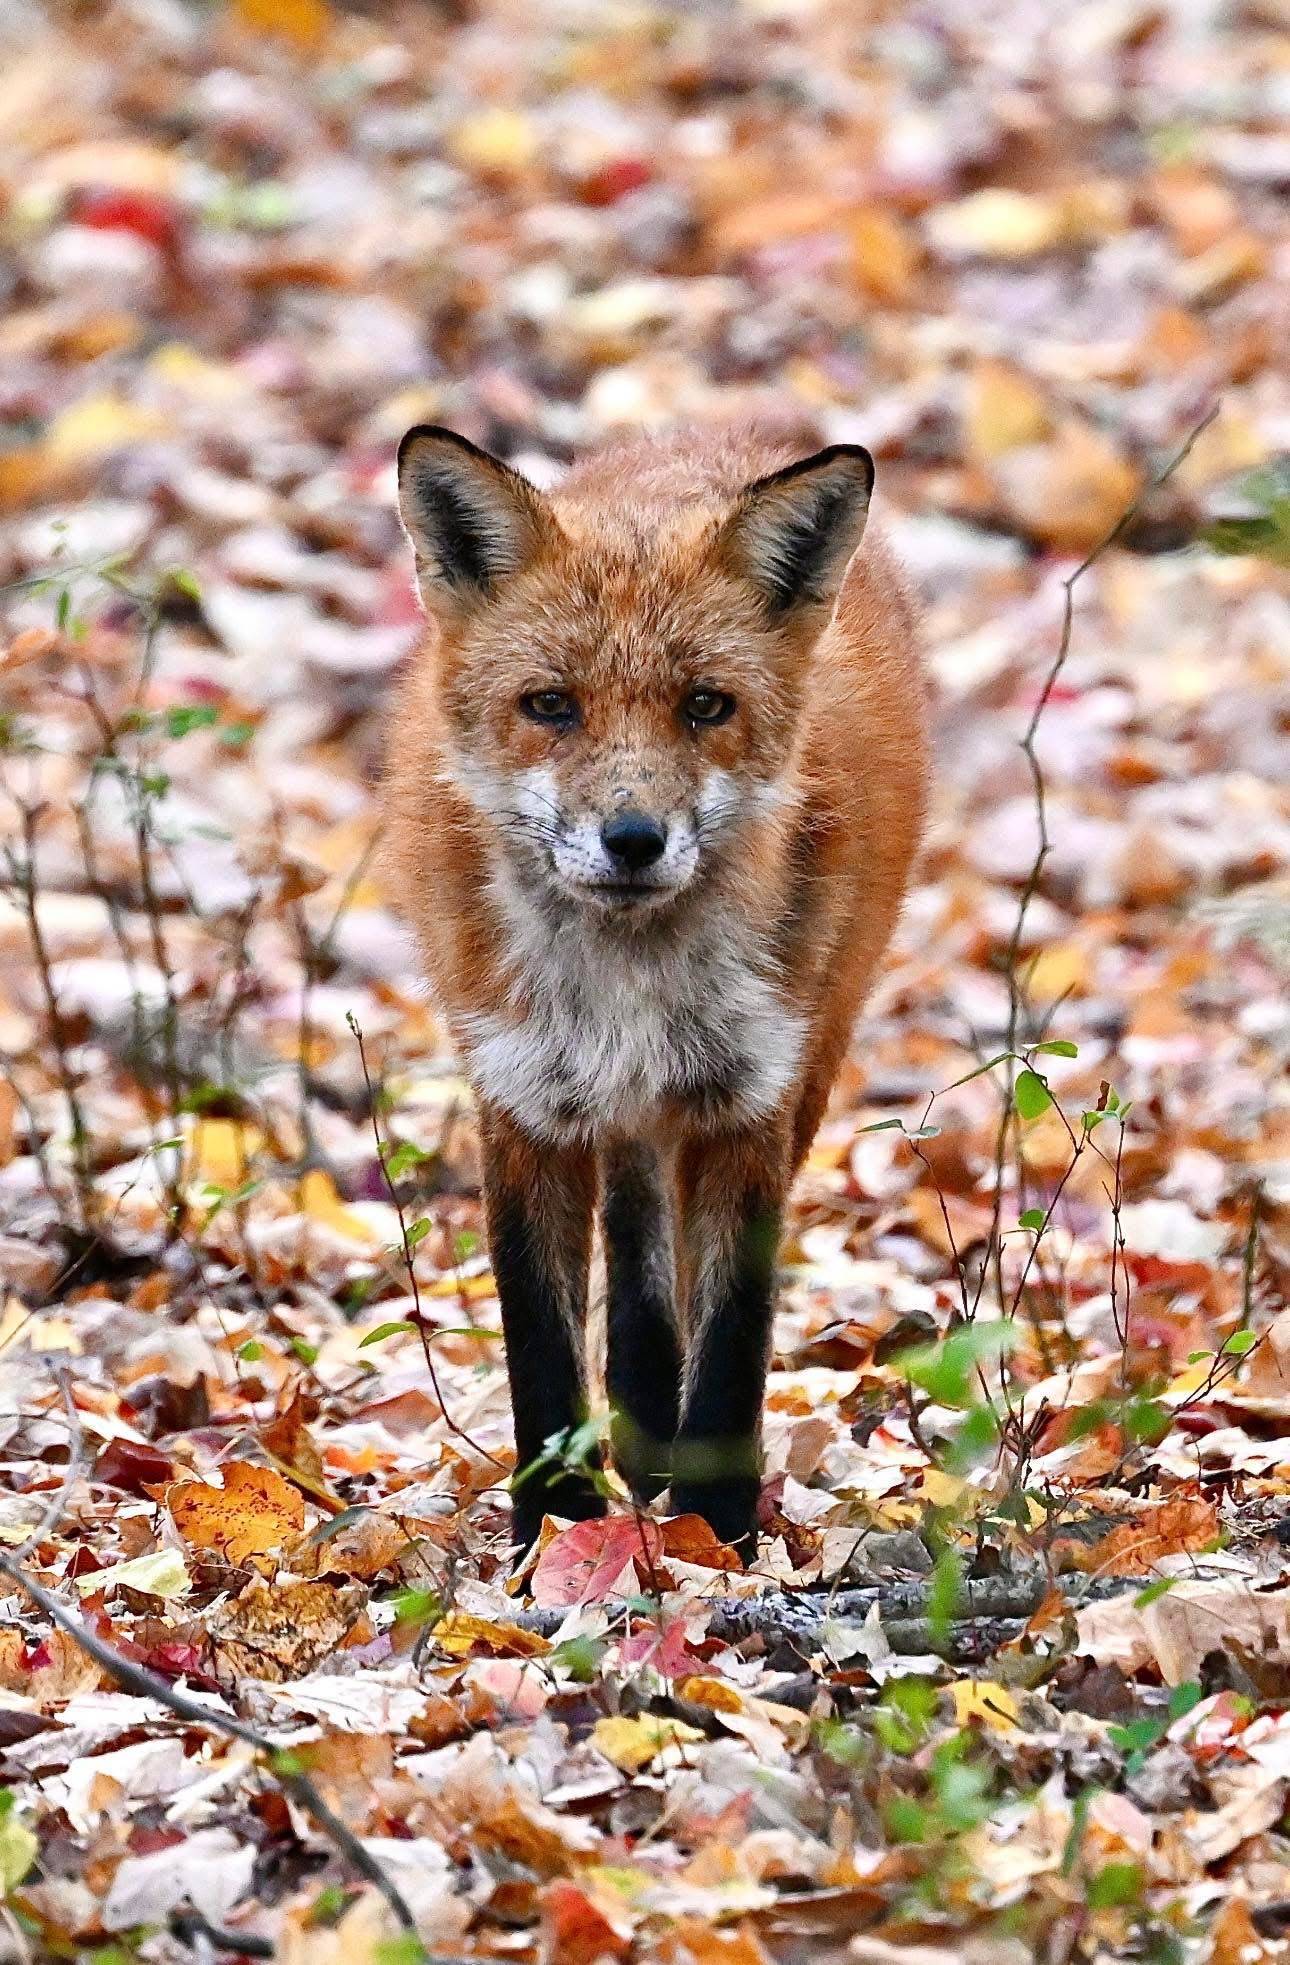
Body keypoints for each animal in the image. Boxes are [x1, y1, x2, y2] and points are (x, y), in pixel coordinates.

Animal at [384, 421, 930, 1559]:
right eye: (551, 706)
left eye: (704, 706)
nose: (632, 839)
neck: (627, 989)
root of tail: (717, 433)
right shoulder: (523, 1107)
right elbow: (543, 1347)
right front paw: (553, 1525)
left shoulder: (748, 1103)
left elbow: (731, 1338)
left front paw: (718, 1532)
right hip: (621, 1118)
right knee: (637, 1272)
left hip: (803, 1062)